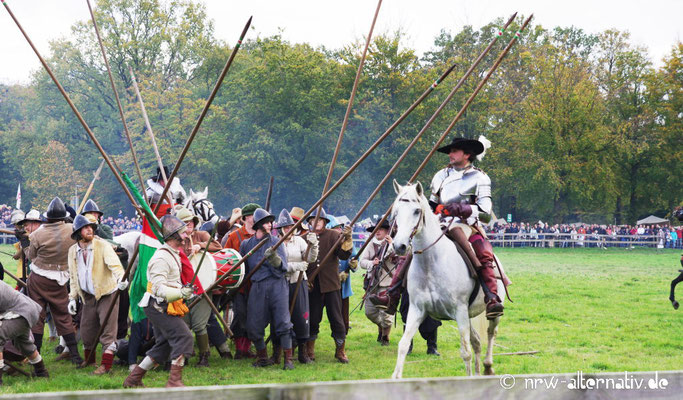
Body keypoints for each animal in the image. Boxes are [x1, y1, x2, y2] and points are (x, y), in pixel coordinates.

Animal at [390, 180, 502, 378]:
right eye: (396, 211)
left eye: (416, 211)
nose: (399, 246)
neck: (431, 263)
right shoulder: (417, 310)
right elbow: (403, 344)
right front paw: (396, 377)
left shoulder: (459, 311)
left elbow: (465, 352)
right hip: (468, 315)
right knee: (477, 341)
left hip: (489, 312)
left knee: (491, 332)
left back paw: (488, 366)